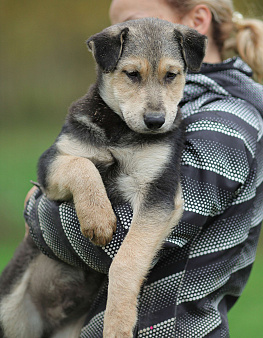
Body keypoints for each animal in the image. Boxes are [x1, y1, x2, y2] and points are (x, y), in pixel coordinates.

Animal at [0, 18, 207, 338]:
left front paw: (118, 323)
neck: (120, 130)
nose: (156, 122)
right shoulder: (53, 160)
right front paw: (98, 219)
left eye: (171, 75)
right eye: (132, 74)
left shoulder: (157, 189)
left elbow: (126, 260)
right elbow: (82, 166)